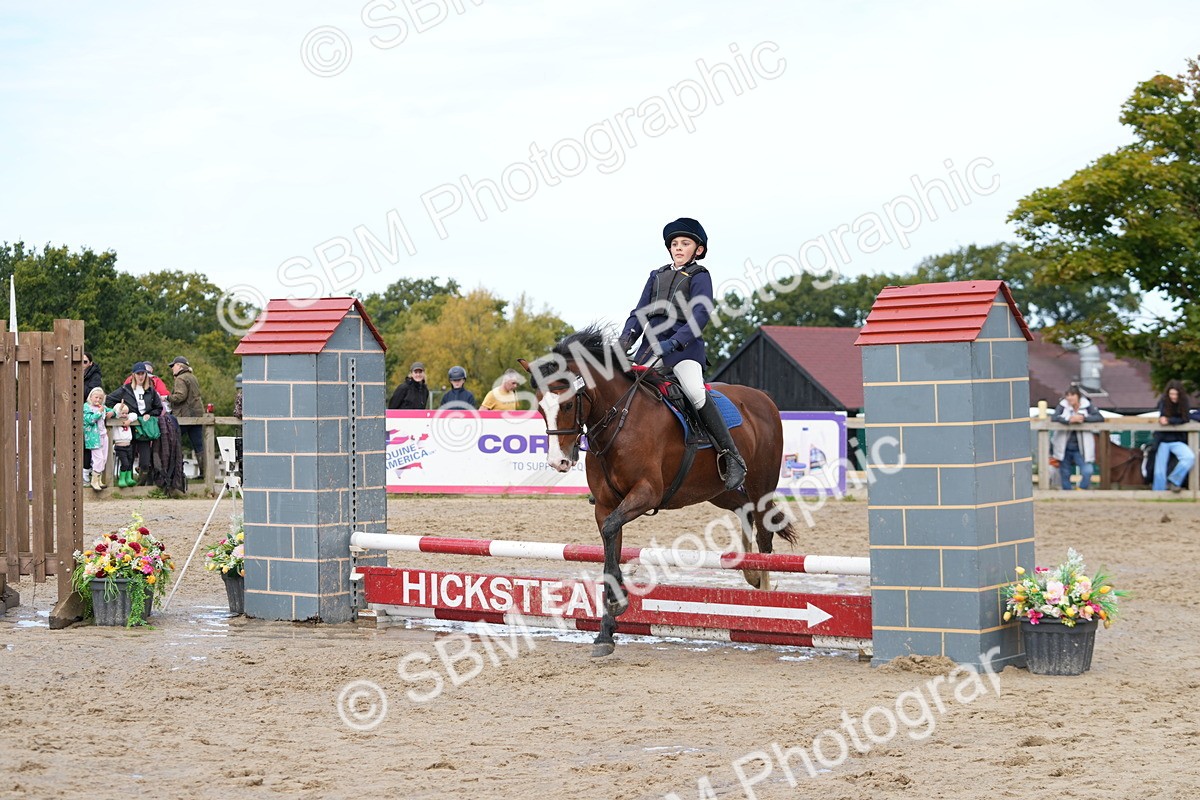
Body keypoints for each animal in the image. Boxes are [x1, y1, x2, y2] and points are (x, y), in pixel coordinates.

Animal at [519, 325, 799, 657]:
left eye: (568, 404)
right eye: (540, 407)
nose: (558, 461)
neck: (619, 420)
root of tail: (763, 398)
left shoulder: (646, 493)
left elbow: (612, 531)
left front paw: (618, 603)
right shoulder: (605, 506)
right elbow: (610, 543)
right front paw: (606, 632)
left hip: (761, 486)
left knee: (764, 531)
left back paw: (766, 602)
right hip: (719, 491)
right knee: (745, 512)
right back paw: (752, 574)